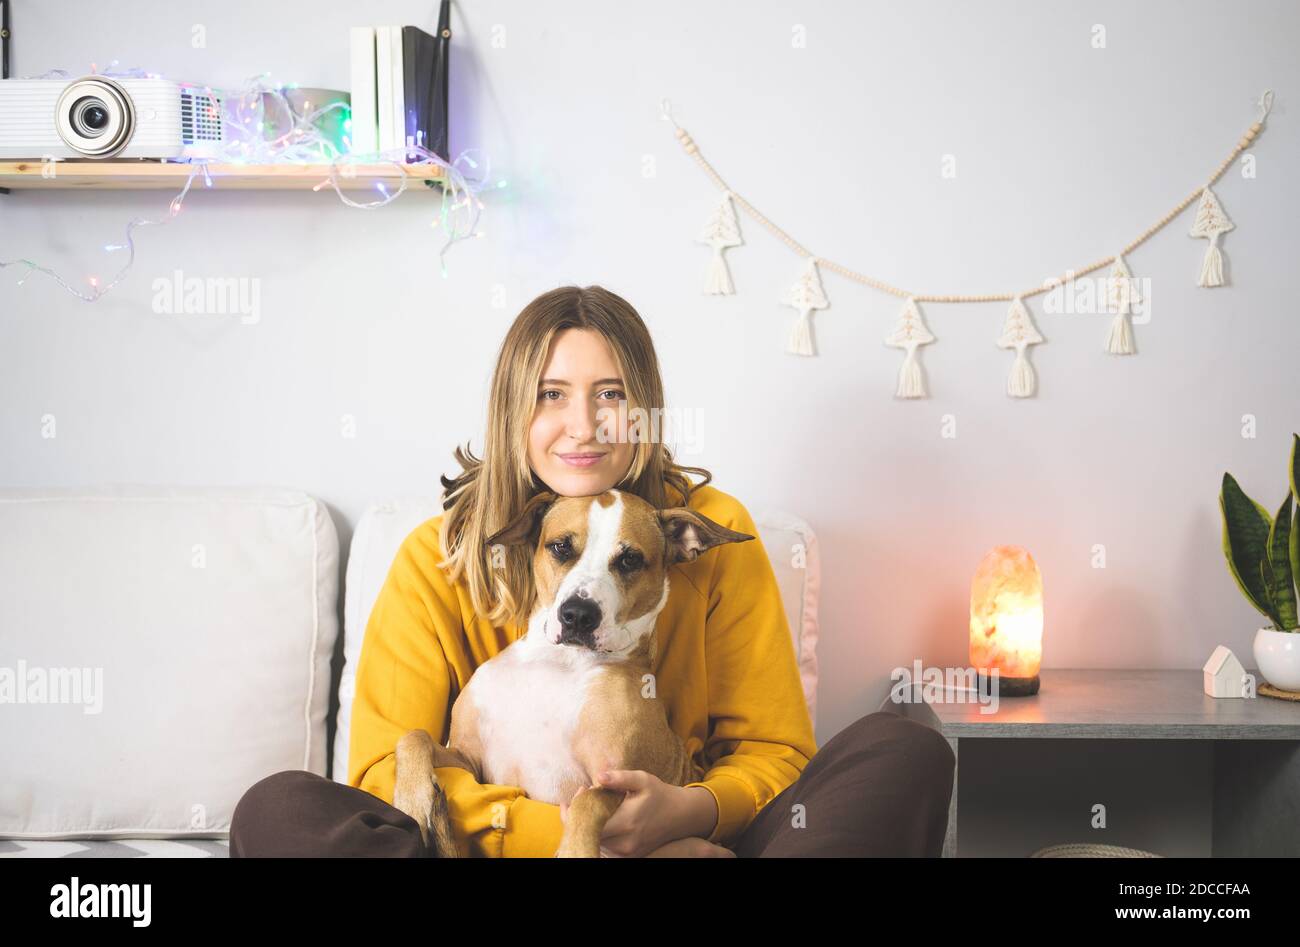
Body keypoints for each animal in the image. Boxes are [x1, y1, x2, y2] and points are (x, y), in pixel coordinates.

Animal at [390, 489, 754, 858]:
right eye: (561, 547)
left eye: (630, 560)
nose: (578, 614)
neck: (559, 661)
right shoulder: (470, 761)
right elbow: (414, 736)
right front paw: (412, 799)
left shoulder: (620, 781)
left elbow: (588, 802)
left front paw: (575, 850)